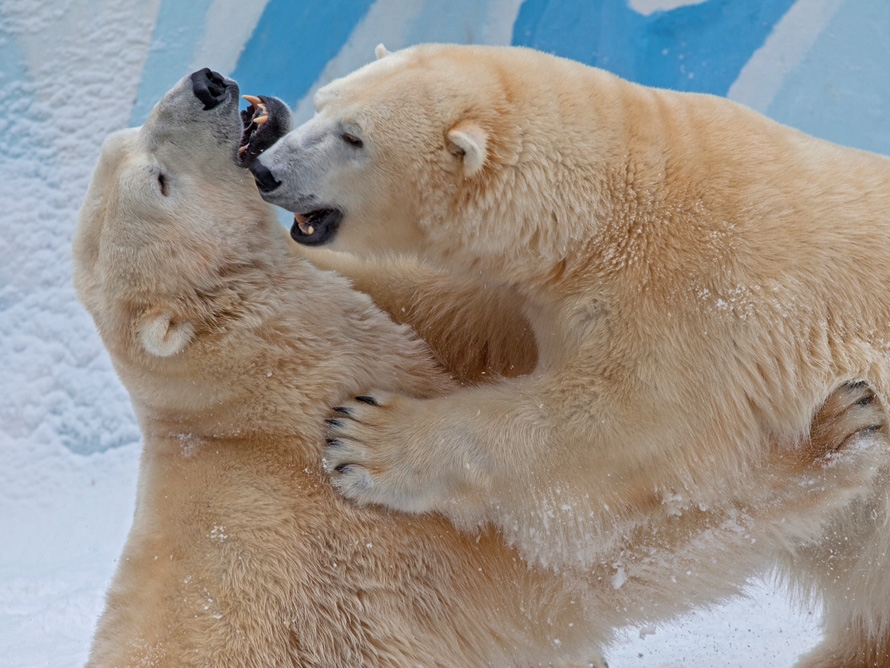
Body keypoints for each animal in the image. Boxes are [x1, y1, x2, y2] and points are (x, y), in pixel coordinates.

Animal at [248, 44, 888, 664]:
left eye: (354, 137)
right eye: (324, 104)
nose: (265, 171)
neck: (616, 205)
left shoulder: (700, 302)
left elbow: (620, 424)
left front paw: (364, 439)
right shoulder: (541, 290)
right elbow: (459, 316)